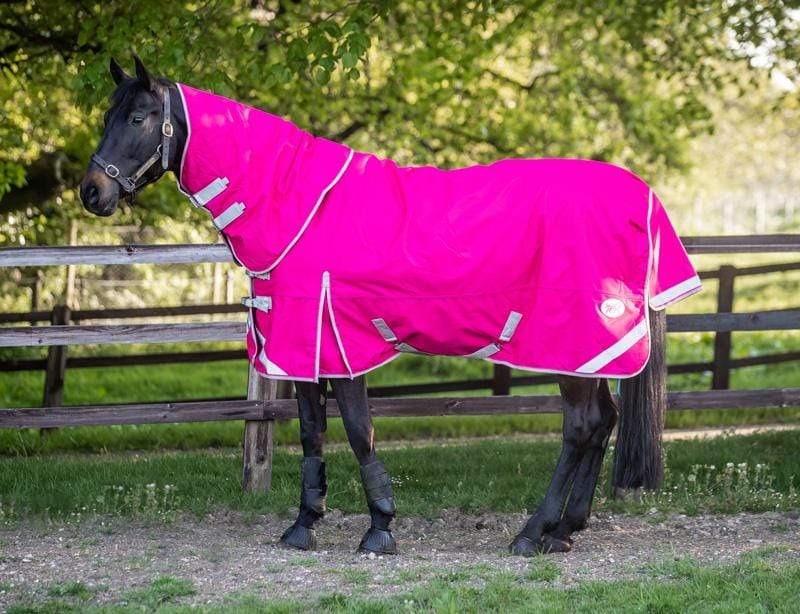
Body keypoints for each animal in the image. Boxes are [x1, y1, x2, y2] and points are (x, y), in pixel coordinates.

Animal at [80, 56, 699, 556]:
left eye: (138, 118)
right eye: (107, 115)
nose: (92, 193)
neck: (299, 204)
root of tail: (642, 197)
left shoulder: (340, 343)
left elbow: (359, 432)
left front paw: (379, 529)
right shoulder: (304, 347)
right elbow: (312, 432)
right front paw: (303, 525)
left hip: (567, 344)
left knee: (582, 426)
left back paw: (532, 533)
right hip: (589, 356)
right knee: (603, 423)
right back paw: (565, 530)